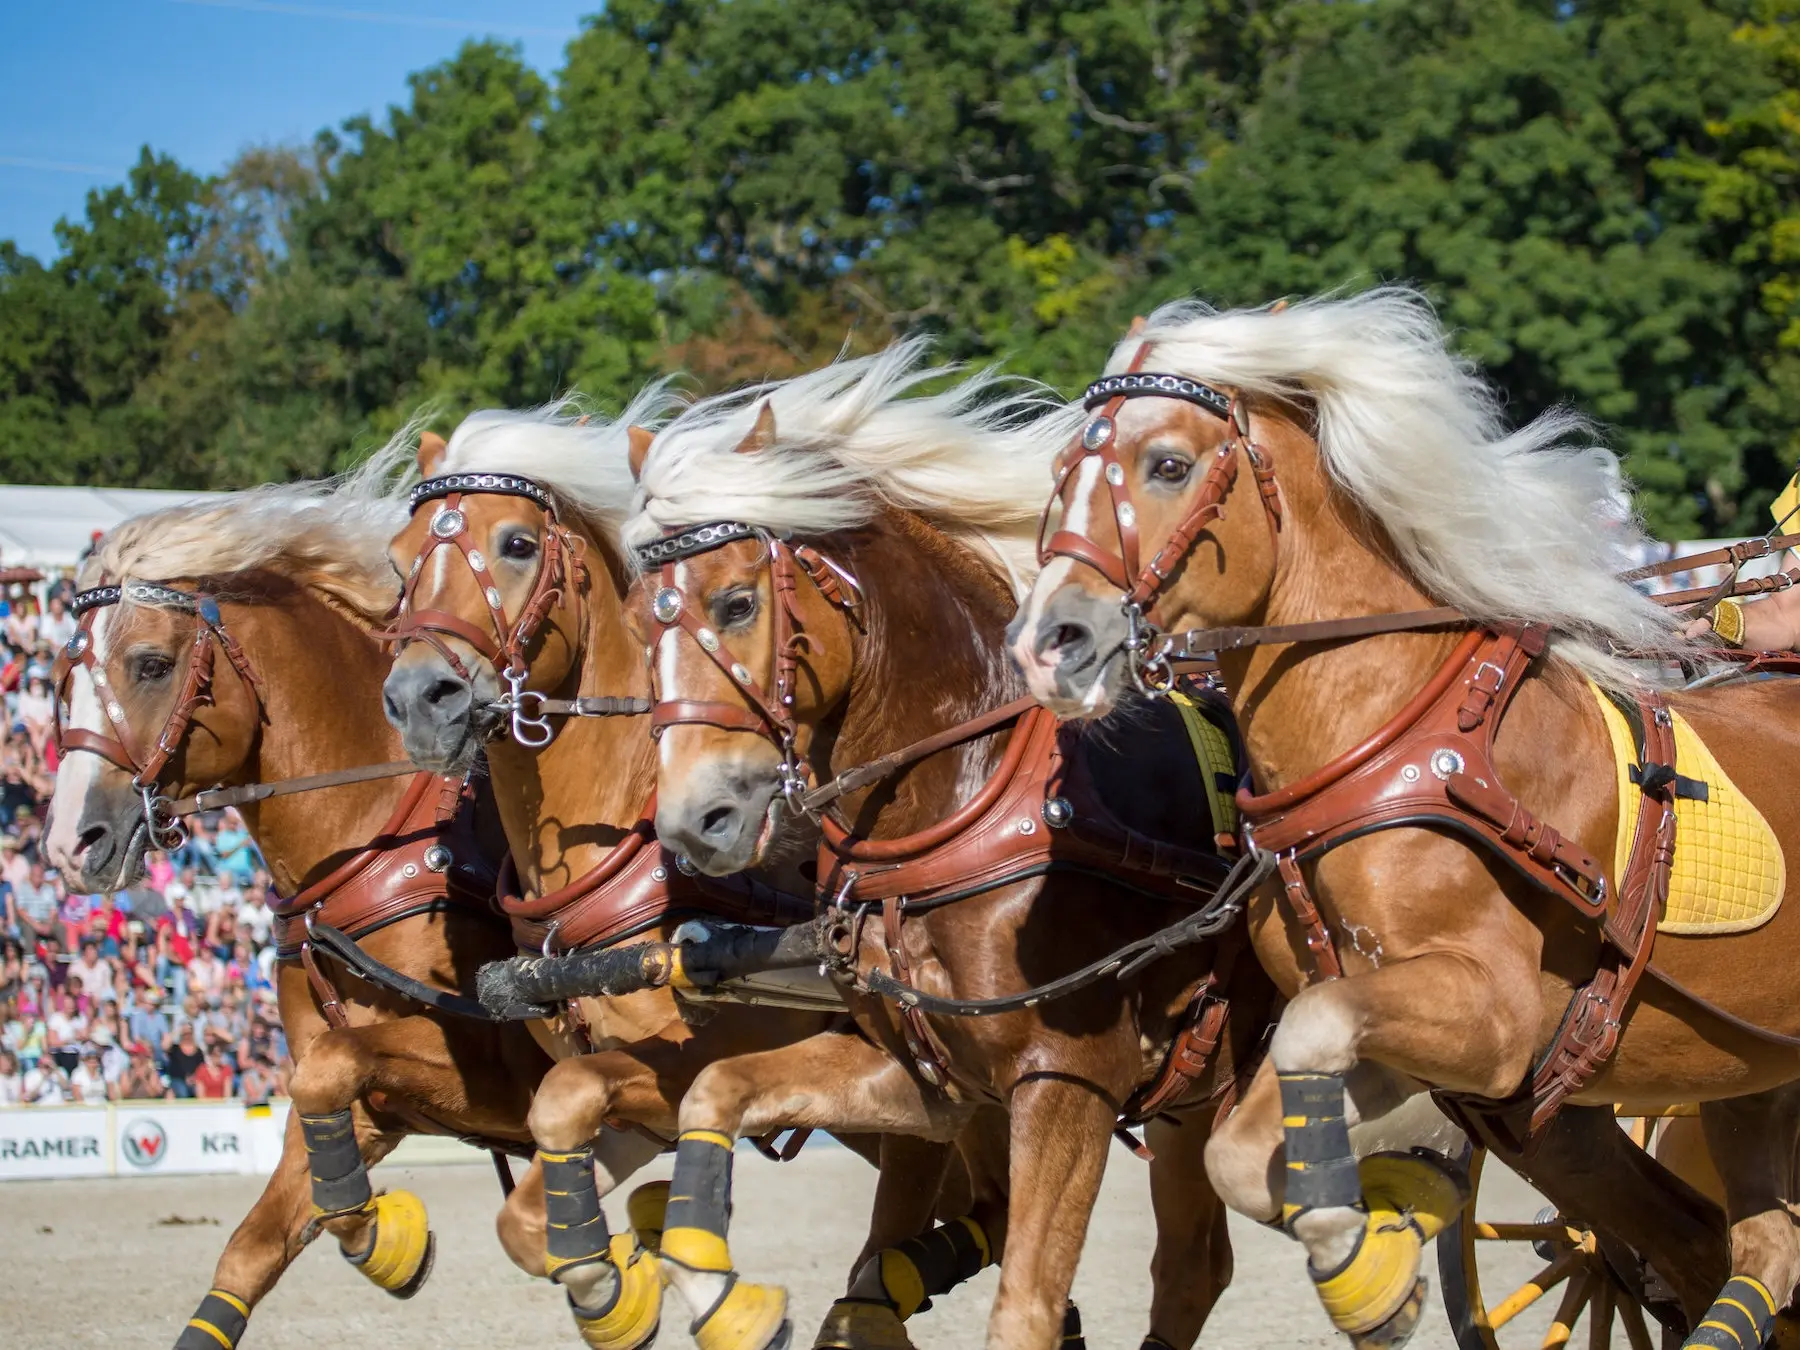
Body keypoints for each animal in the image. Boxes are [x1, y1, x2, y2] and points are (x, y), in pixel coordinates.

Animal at [42, 471, 547, 1350]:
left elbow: (328, 1070)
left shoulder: (508, 1076)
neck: (381, 840)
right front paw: (382, 1238)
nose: (72, 839)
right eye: (61, 678)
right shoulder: (375, 1103)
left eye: (150, 664)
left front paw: (384, 1236)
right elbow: (255, 1245)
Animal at [619, 345, 1281, 1350]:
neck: (968, 804)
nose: (695, 821)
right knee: (1196, 1268)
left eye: (734, 603)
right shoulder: (931, 1082)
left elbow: (1026, 1305)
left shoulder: (1069, 1081)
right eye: (637, 622)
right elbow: (716, 1088)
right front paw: (715, 1290)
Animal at [1000, 291, 1800, 1350]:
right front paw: (1377, 1252)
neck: (1394, 741)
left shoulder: (1492, 1018)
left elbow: (1306, 1046)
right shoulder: (1417, 1036)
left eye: (1166, 464)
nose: (1047, 643)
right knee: (1736, 1247)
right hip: (1733, 1081)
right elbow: (1242, 1150)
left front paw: (1371, 1251)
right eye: (1059, 473)